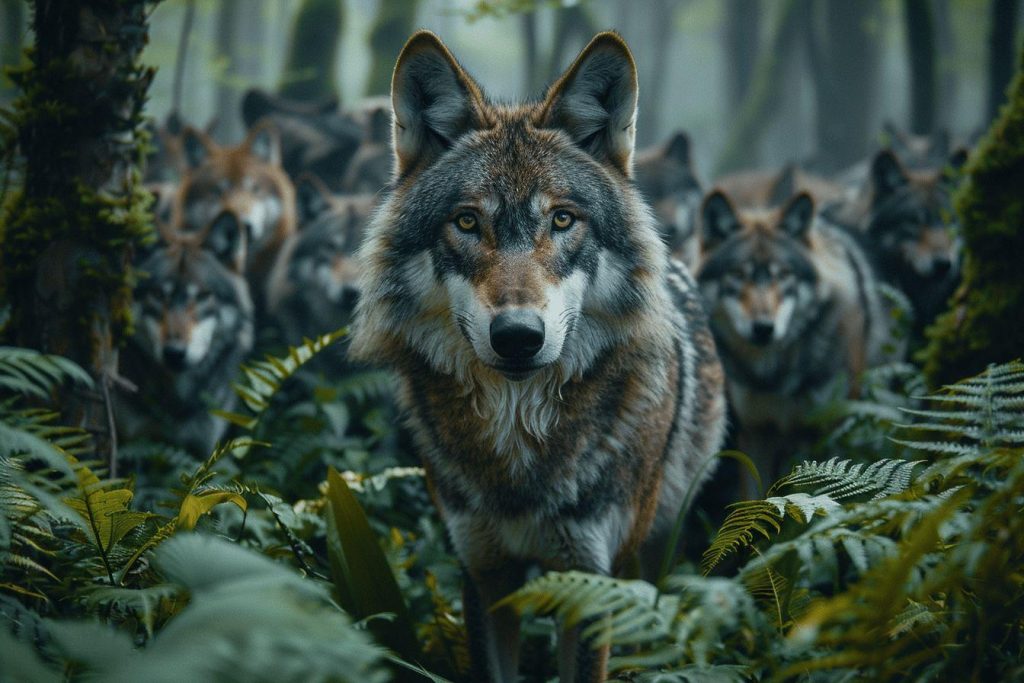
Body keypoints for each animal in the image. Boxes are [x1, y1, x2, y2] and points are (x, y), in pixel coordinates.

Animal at [696, 189, 890, 484]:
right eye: (738, 274)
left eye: (784, 274)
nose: (763, 328)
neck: (775, 375)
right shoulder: (756, 433)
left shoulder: (829, 432)